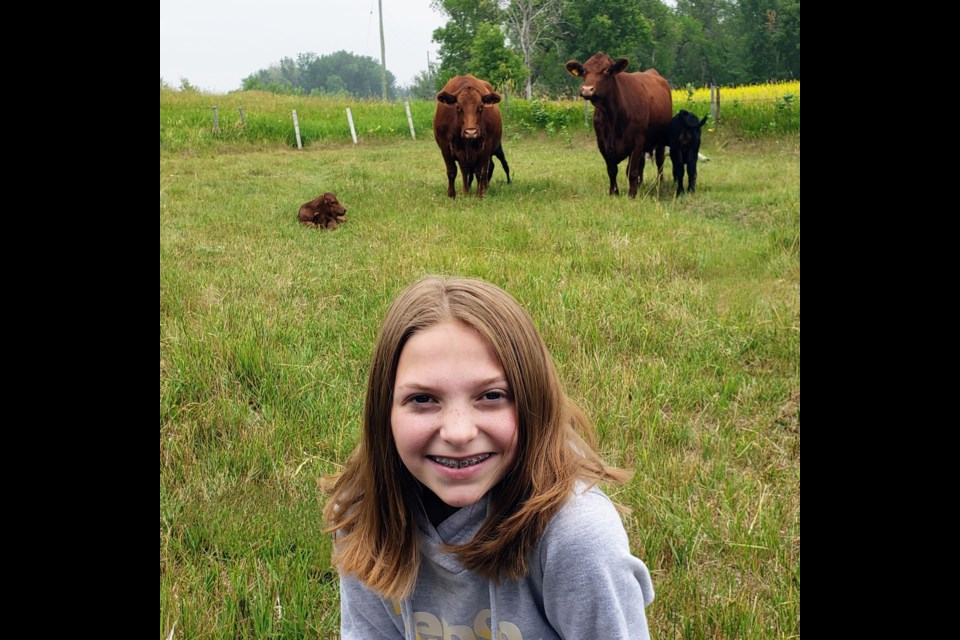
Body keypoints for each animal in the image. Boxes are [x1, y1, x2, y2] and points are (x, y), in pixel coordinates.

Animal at [568, 52, 672, 198]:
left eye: (607, 70)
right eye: (583, 70)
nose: (587, 89)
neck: (612, 116)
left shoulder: (637, 141)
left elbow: (631, 171)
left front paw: (632, 195)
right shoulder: (602, 144)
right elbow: (612, 170)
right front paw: (614, 193)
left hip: (661, 139)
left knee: (660, 161)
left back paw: (659, 184)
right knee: (642, 164)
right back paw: (640, 185)